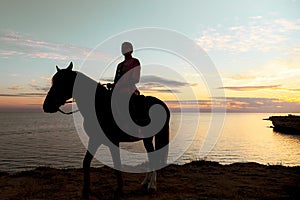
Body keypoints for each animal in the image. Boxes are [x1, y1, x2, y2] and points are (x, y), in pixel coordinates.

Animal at [42, 62, 170, 198]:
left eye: (61, 82)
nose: (46, 105)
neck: (100, 106)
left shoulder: (113, 142)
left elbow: (117, 164)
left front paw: (119, 191)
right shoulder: (94, 139)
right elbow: (86, 162)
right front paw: (85, 191)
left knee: (154, 158)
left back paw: (152, 186)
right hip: (147, 139)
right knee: (152, 157)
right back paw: (146, 183)